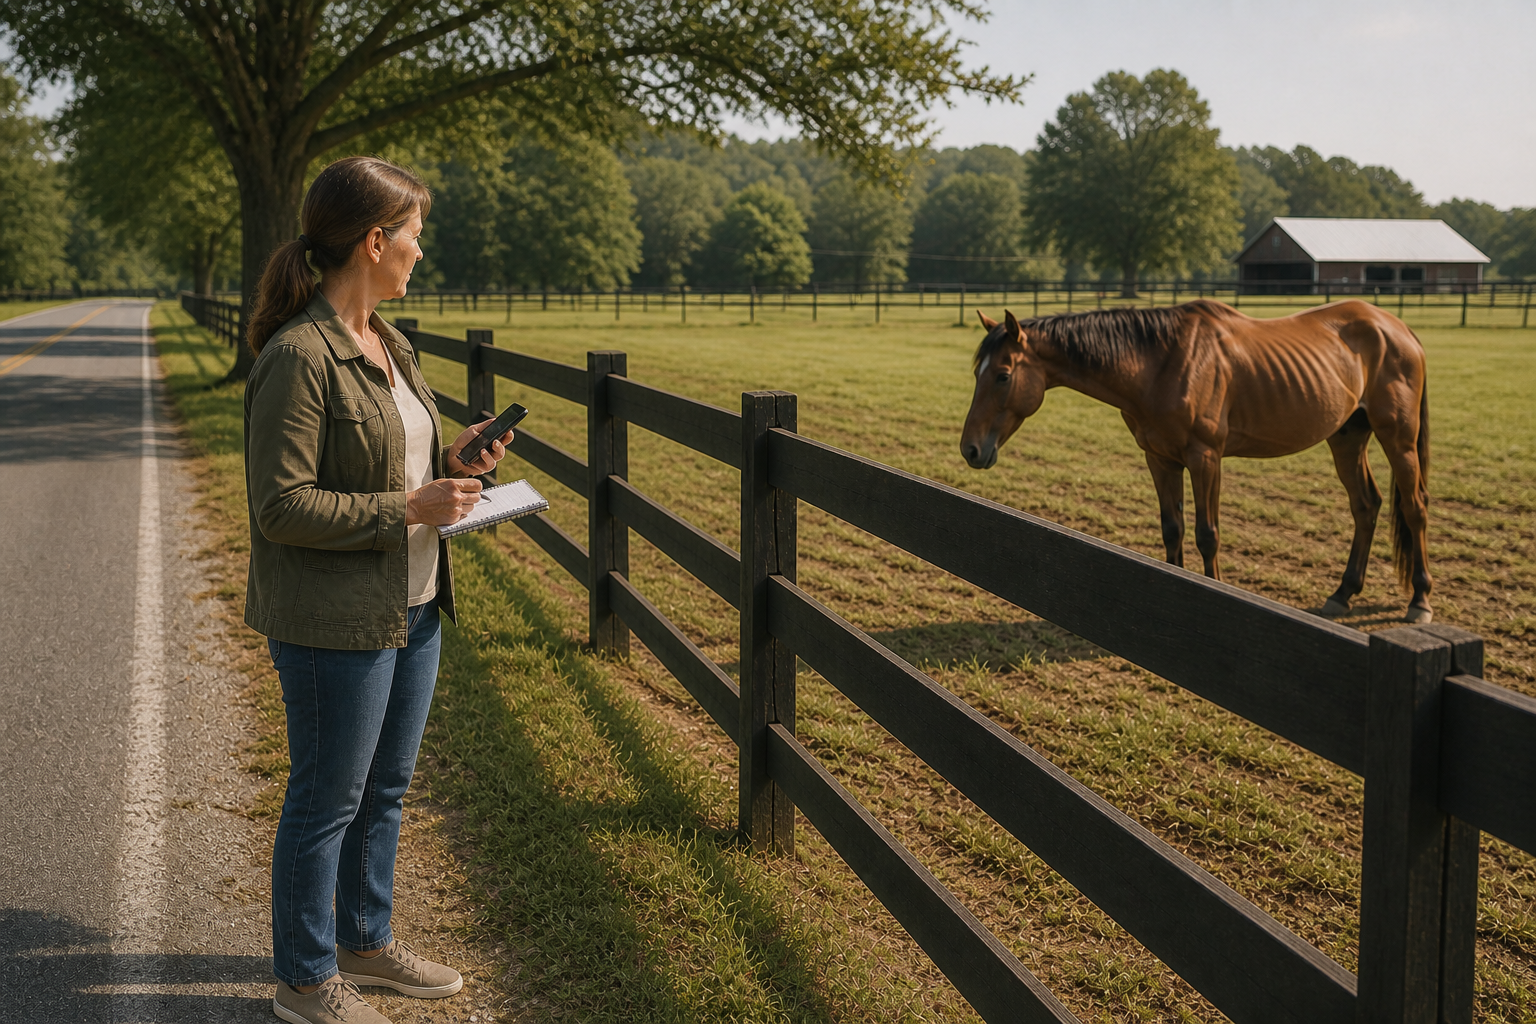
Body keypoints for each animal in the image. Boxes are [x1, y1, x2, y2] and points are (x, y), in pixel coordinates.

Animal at [959, 300, 1432, 623]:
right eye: (977, 373)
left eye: (1002, 375)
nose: (970, 449)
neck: (1161, 363)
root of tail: (1397, 327)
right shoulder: (1160, 459)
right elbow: (1173, 530)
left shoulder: (1206, 458)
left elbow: (1208, 535)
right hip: (1347, 436)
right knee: (1366, 506)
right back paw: (1343, 593)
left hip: (1398, 438)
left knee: (1414, 509)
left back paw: (1420, 600)